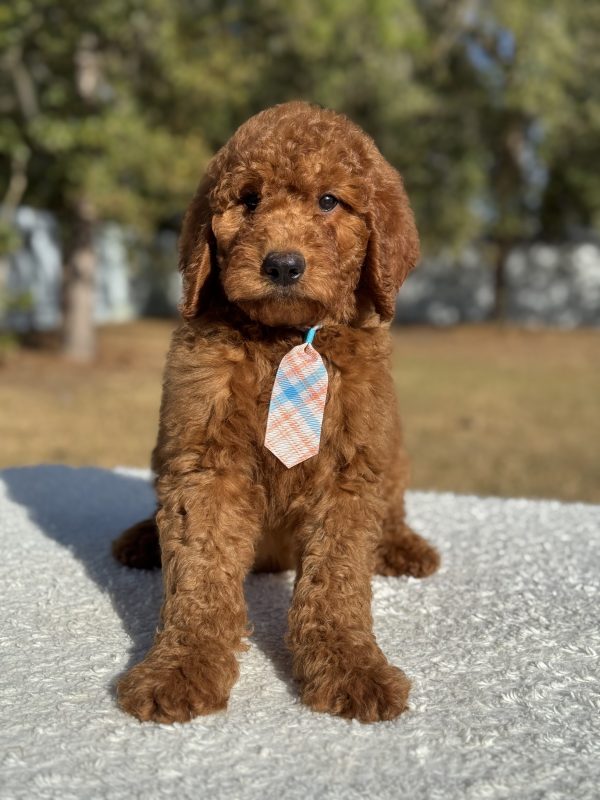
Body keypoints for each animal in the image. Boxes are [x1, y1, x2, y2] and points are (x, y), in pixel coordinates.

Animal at [113, 101, 440, 724]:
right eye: (248, 200)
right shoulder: (204, 462)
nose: (283, 265)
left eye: (329, 201)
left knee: (393, 507)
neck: (284, 338)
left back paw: (402, 545)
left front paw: (351, 666)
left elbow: (337, 580)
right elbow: (198, 574)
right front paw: (180, 667)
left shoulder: (350, 470)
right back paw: (142, 537)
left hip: (394, 450)